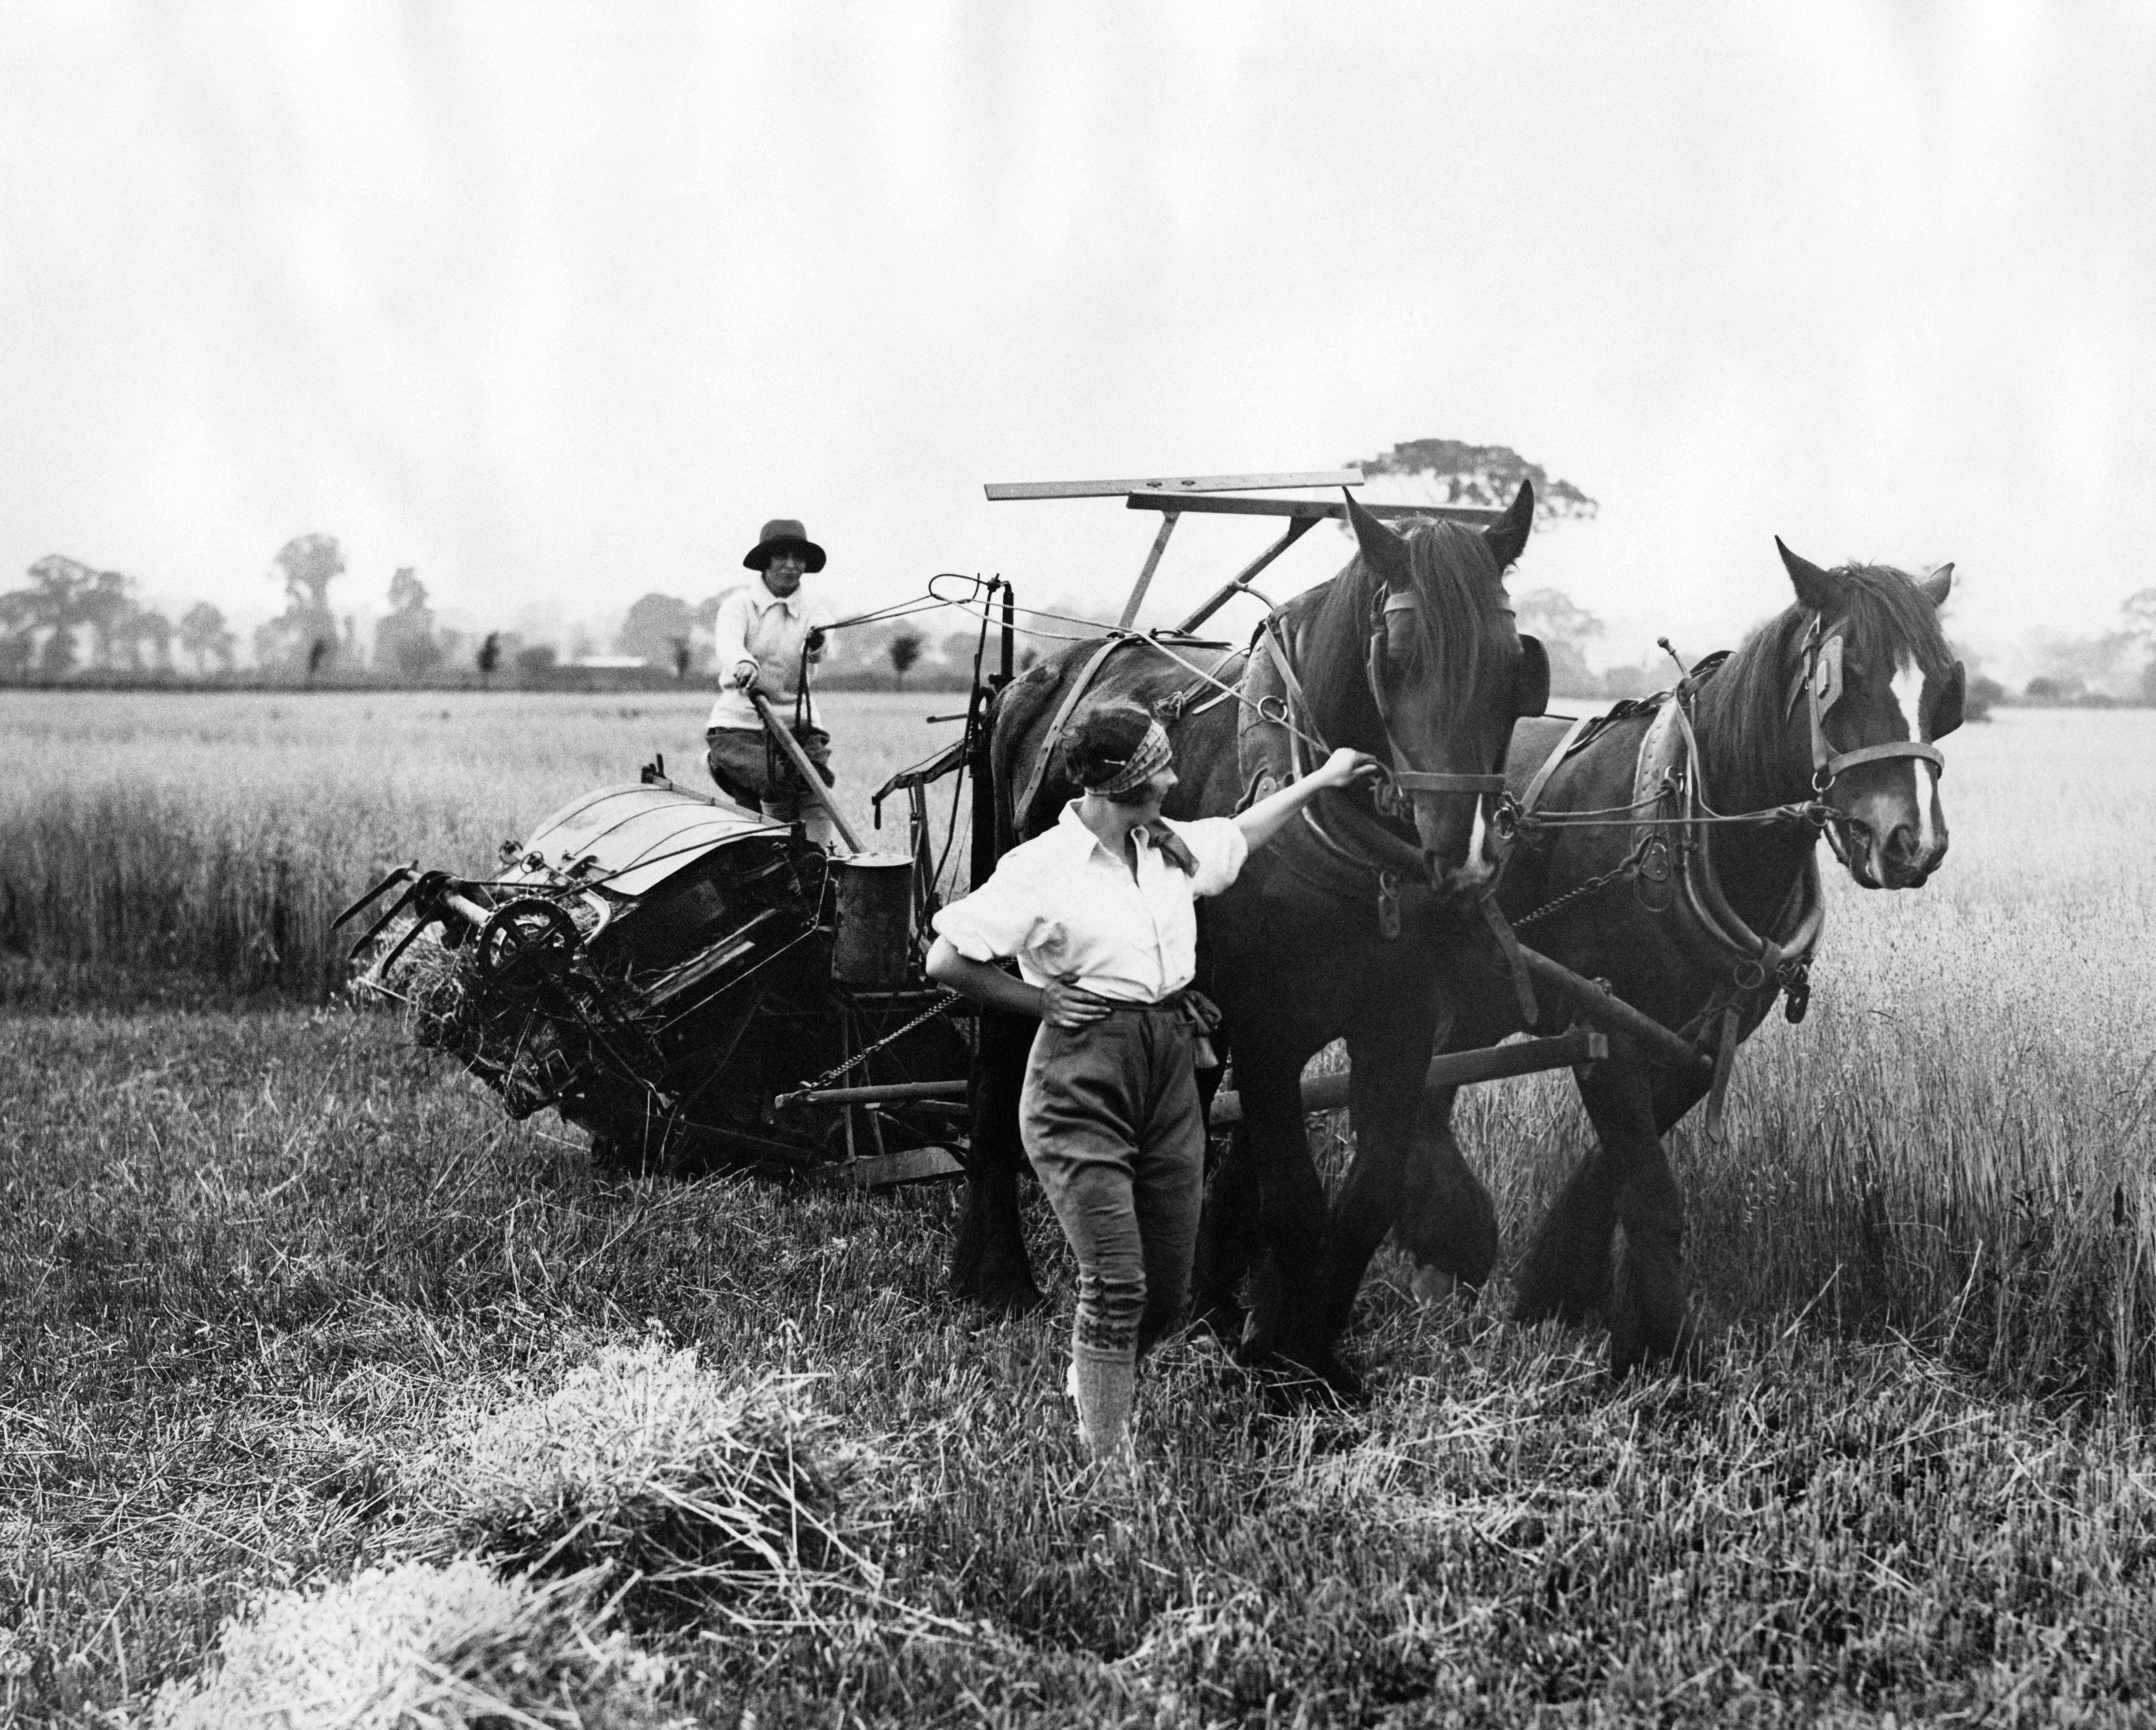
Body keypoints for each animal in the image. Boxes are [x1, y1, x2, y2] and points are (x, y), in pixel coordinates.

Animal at [949, 490, 1552, 1389]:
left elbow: (1367, 1195)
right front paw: (1285, 1370)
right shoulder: (1271, 1025)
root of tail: (1028, 681)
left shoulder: (1401, 1026)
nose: (1468, 854)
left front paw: (1303, 1349)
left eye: (1515, 663)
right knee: (994, 1076)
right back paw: (995, 1277)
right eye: (1398, 657)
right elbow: (1295, 1195)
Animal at [1388, 533, 1966, 1372]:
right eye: (1847, 677)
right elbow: (1650, 1191)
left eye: (1946, 688)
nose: (1913, 843)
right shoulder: (1605, 1023)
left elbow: (1615, 1176)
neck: (1690, 817)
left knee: (1430, 1085)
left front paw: (1563, 1297)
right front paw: (1669, 1350)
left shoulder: (1697, 1042)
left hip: (1477, 991)